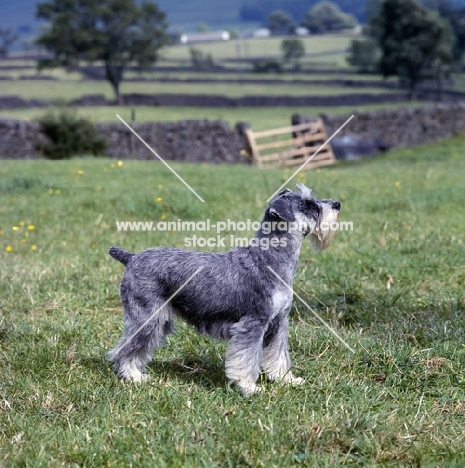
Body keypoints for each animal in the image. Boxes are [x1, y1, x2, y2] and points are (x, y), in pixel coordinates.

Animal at [109, 185, 340, 396]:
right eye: (308, 204)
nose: (337, 204)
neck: (269, 258)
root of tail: (132, 258)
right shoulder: (253, 324)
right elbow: (246, 359)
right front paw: (249, 387)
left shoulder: (278, 323)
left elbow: (279, 355)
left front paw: (287, 380)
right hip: (147, 318)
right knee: (124, 349)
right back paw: (133, 376)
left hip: (159, 320)